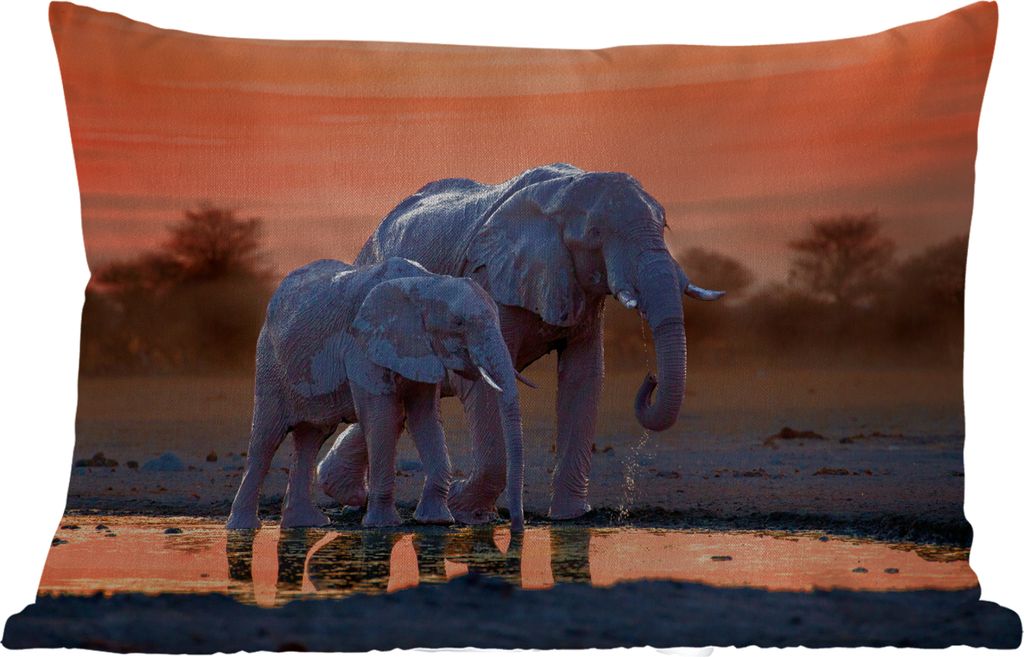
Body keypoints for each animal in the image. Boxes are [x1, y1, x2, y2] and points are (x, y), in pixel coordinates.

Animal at [225, 256, 528, 531]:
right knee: (266, 439)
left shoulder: (421, 349)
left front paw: (437, 521)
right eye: (459, 323)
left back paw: (306, 524)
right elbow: (382, 417)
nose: (515, 529)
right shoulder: (362, 344)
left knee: (311, 436)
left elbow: (426, 418)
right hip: (269, 364)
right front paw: (383, 526)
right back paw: (242, 529)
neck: (425, 283)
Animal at [319, 163, 724, 522]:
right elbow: (485, 383)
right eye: (595, 234)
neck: (564, 193)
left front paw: (570, 517)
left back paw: (345, 492)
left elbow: (583, 377)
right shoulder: (489, 279)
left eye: (664, 225)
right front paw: (466, 510)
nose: (650, 379)